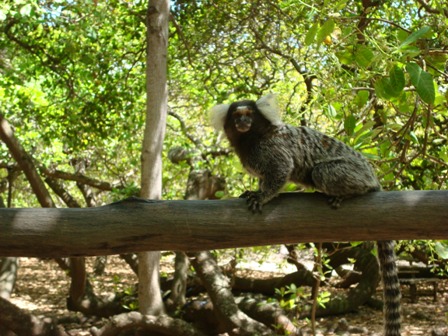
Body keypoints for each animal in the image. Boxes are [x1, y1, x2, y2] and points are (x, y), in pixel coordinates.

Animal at [210, 94, 402, 336]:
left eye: (248, 115)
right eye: (236, 115)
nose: (242, 123)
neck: (252, 137)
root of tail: (373, 177)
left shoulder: (272, 149)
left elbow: (281, 169)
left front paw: (262, 196)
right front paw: (255, 191)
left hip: (351, 173)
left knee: (322, 172)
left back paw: (348, 193)